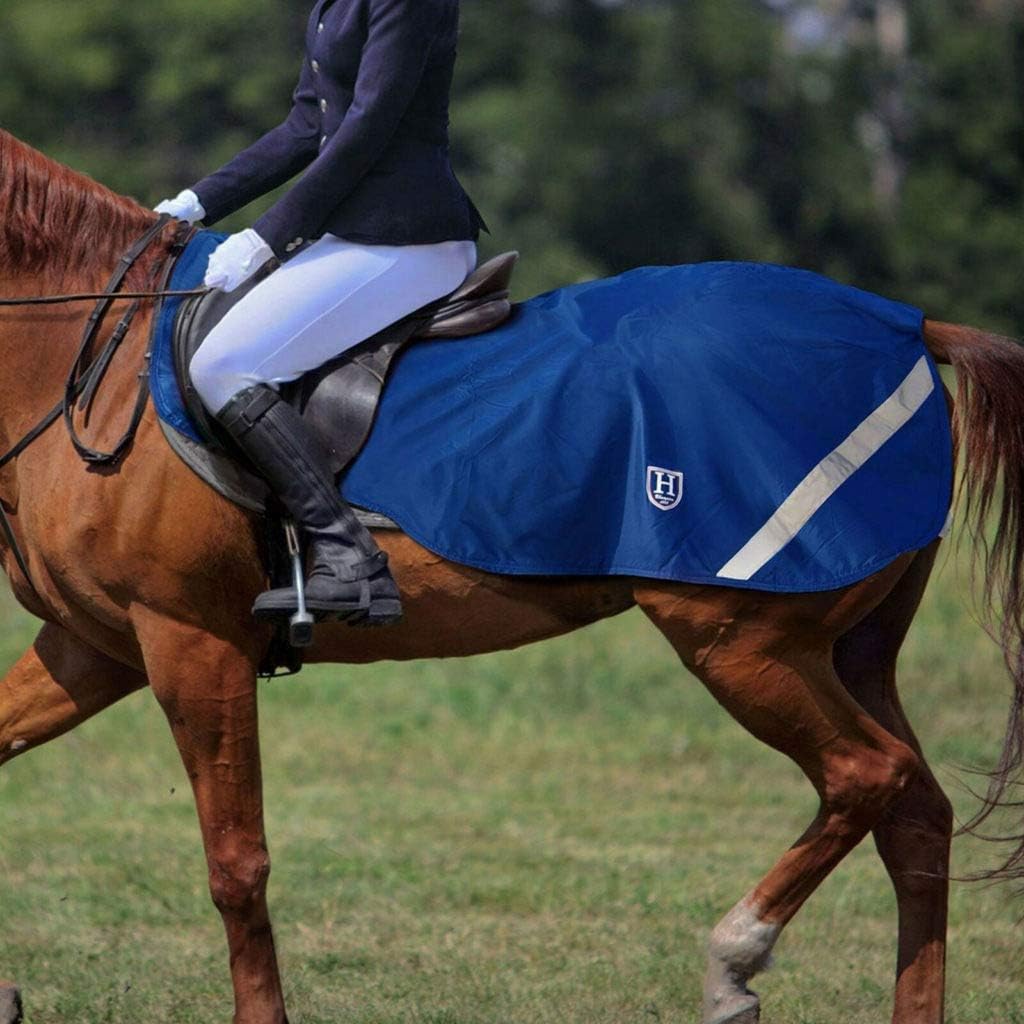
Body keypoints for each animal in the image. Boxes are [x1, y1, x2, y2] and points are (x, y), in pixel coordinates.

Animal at [2, 128, 1024, 1024]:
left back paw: (732, 963)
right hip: (850, 650)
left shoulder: (191, 643)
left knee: (867, 774)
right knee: (915, 817)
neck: (87, 356)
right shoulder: (100, 644)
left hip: (745, 643)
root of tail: (900, 325)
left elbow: (236, 864)